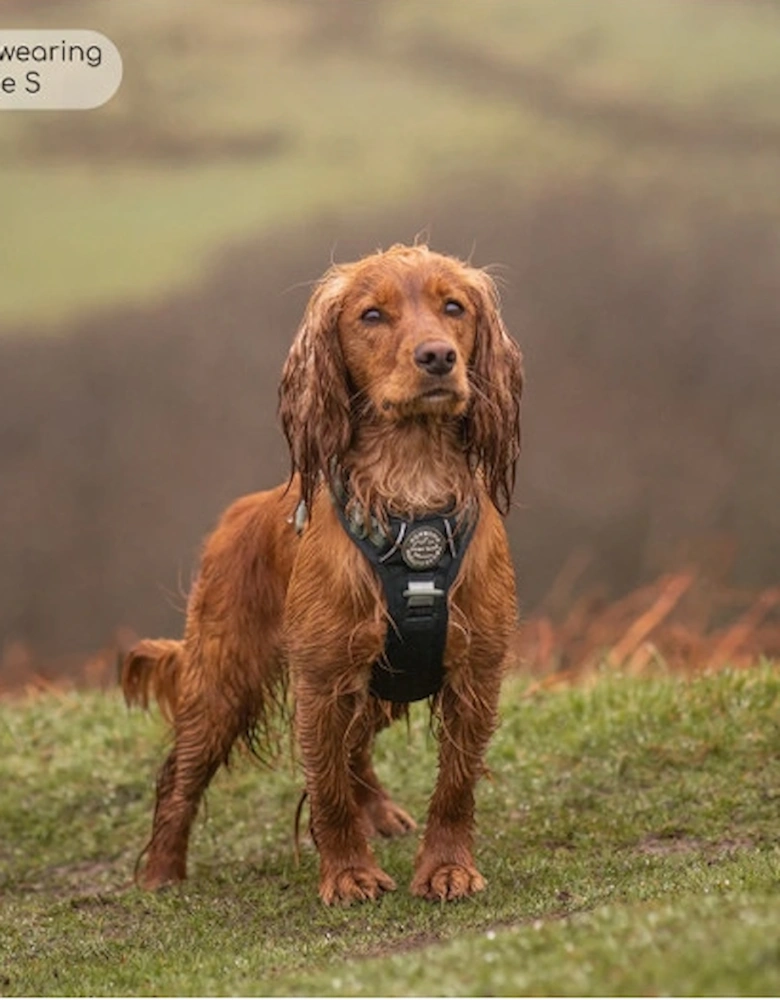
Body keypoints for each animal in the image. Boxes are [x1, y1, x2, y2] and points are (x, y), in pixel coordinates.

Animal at [123, 244, 524, 908]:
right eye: (371, 315)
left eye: (453, 307)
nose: (438, 357)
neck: (410, 490)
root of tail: (236, 515)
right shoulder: (321, 678)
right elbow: (327, 788)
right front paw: (348, 873)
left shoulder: (475, 672)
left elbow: (454, 785)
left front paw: (446, 867)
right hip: (222, 685)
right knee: (181, 778)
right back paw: (161, 871)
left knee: (357, 747)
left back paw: (381, 812)